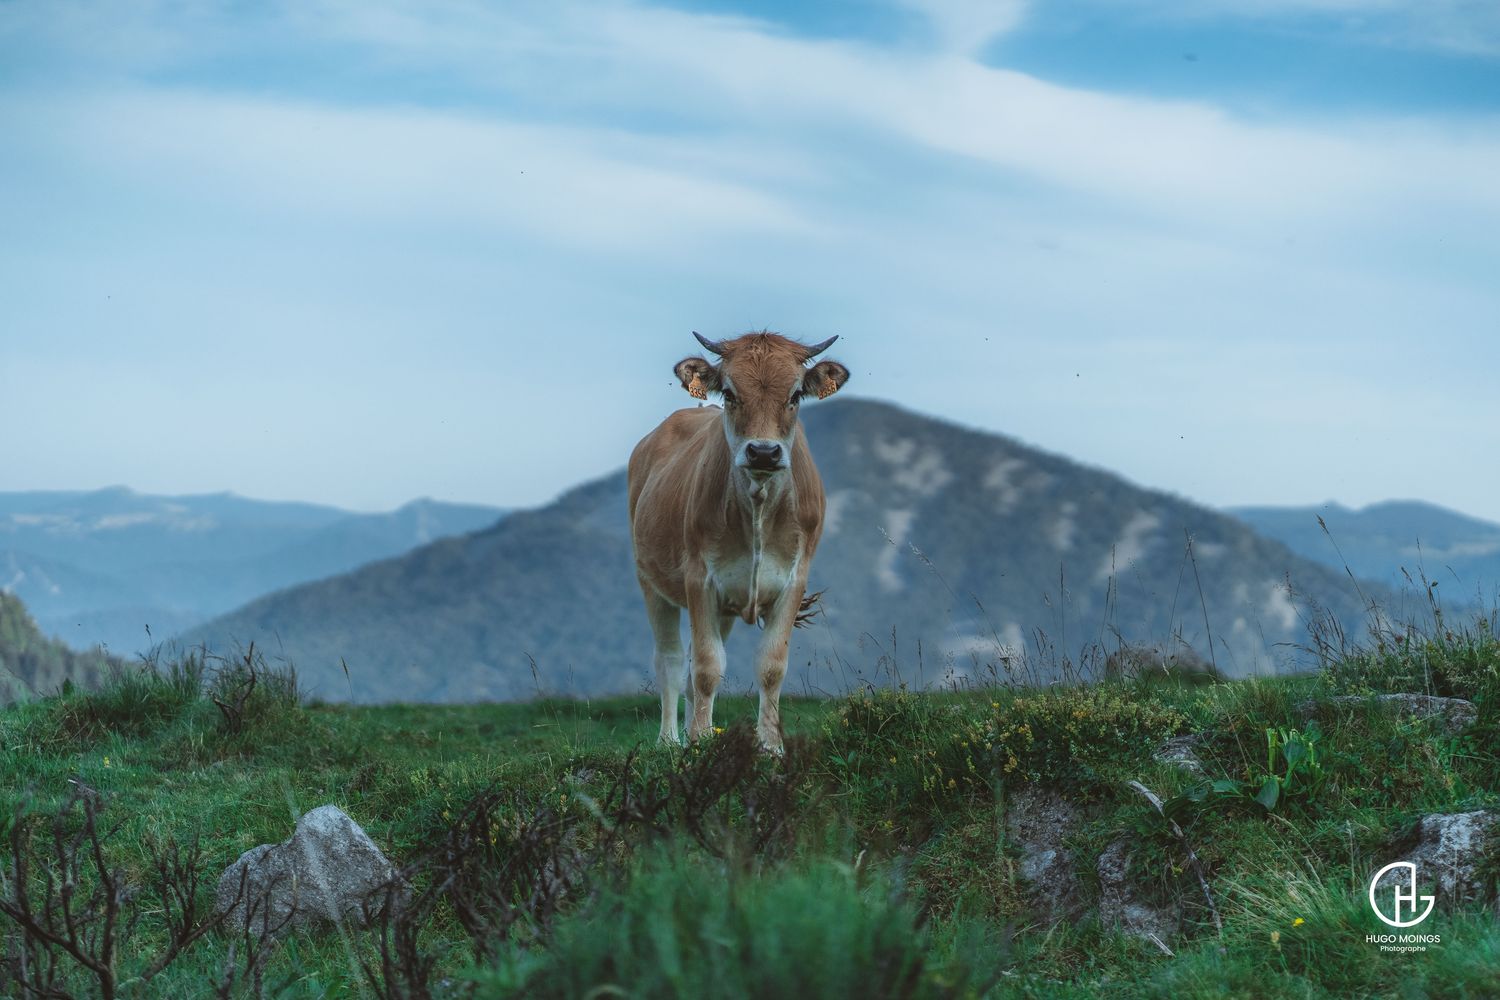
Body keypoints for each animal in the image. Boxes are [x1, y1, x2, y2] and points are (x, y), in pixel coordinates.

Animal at [627, 331, 849, 753]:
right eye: (730, 393)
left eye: (796, 394)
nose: (763, 451)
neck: (758, 507)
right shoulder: (699, 578)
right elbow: (707, 667)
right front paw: (699, 741)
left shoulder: (793, 580)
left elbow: (771, 666)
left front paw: (771, 745)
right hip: (650, 582)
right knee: (671, 661)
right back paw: (669, 740)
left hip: (726, 605)